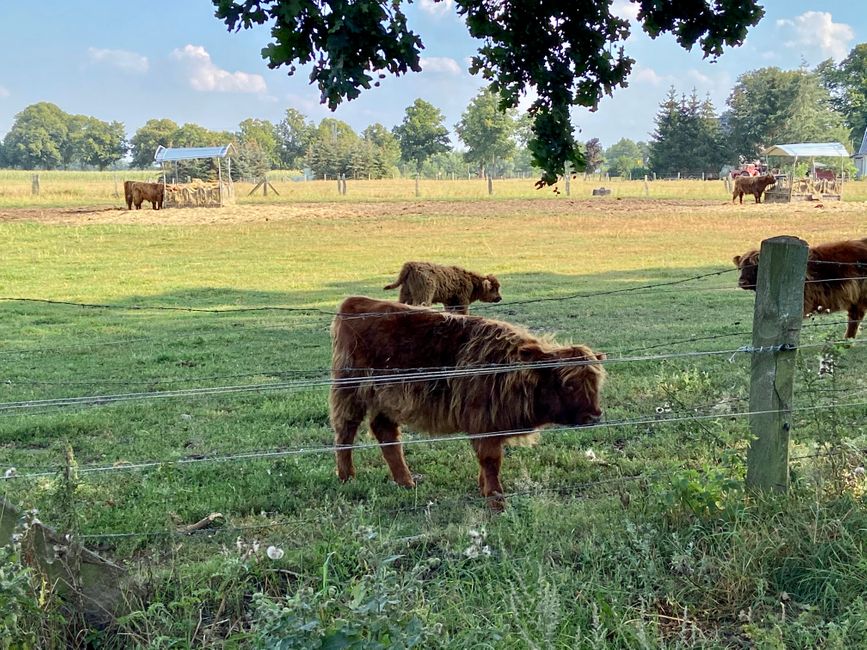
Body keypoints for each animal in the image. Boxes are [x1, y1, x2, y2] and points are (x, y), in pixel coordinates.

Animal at [329, 296, 606, 508]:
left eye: (595, 384)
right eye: (569, 384)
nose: (594, 415)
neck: (510, 370)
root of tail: (353, 302)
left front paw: (485, 490)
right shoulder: (483, 423)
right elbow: (491, 461)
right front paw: (496, 500)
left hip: (388, 399)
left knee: (386, 434)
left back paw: (406, 482)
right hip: (350, 392)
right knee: (345, 432)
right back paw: (346, 477)